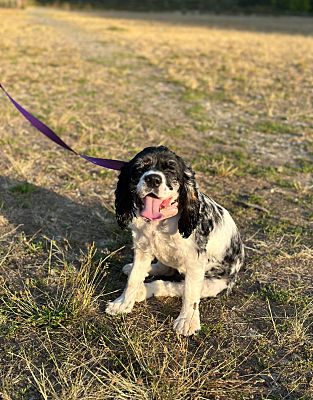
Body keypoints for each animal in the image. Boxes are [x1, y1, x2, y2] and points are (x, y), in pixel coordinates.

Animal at [105, 145, 244, 336]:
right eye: (139, 168)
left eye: (170, 169)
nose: (153, 179)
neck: (161, 220)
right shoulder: (142, 248)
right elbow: (133, 278)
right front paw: (122, 304)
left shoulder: (195, 261)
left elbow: (190, 293)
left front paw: (188, 322)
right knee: (164, 269)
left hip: (214, 284)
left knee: (172, 285)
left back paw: (144, 291)